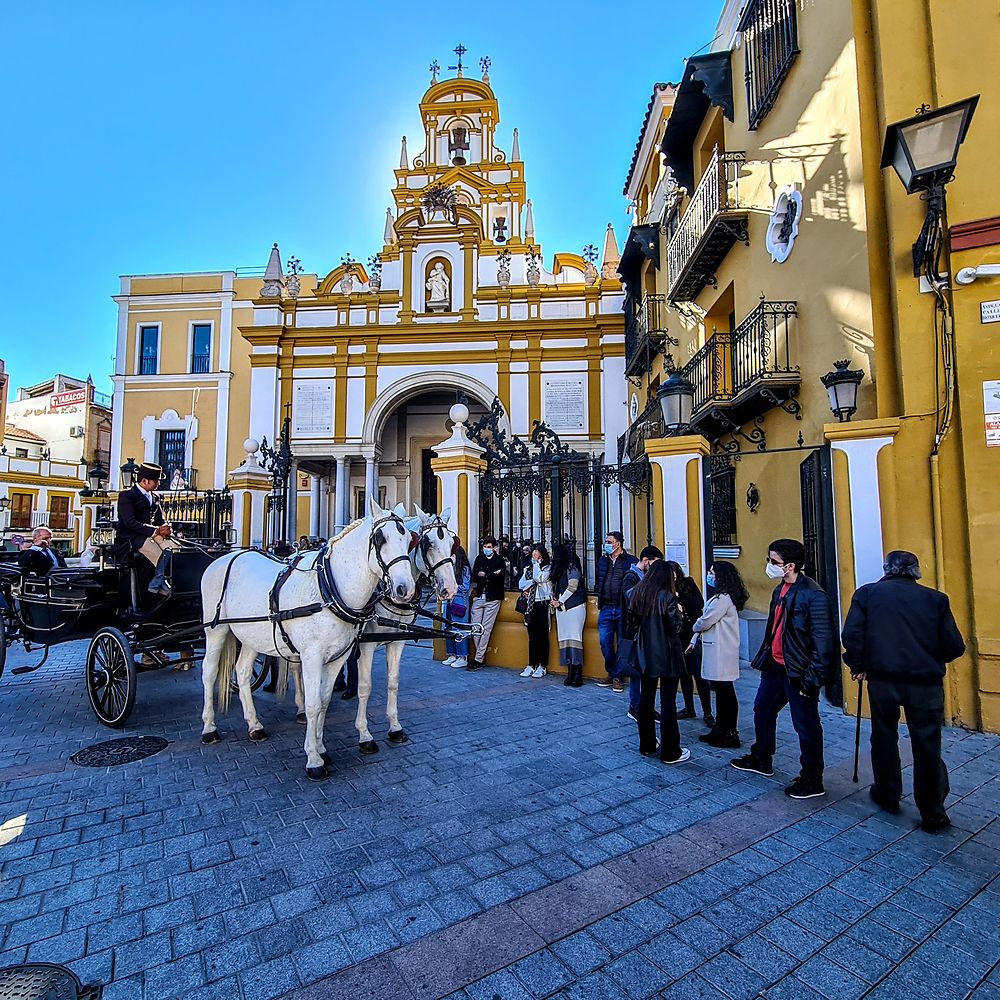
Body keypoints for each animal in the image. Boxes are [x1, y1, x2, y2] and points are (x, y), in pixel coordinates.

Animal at [197, 500, 416, 780]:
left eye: (408, 539)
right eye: (380, 539)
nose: (405, 589)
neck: (330, 590)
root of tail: (230, 556)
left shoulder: (338, 657)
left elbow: (323, 701)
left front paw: (321, 749)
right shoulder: (312, 656)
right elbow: (312, 705)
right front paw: (313, 760)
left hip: (251, 635)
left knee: (243, 671)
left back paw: (255, 725)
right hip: (216, 629)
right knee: (209, 671)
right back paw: (210, 729)